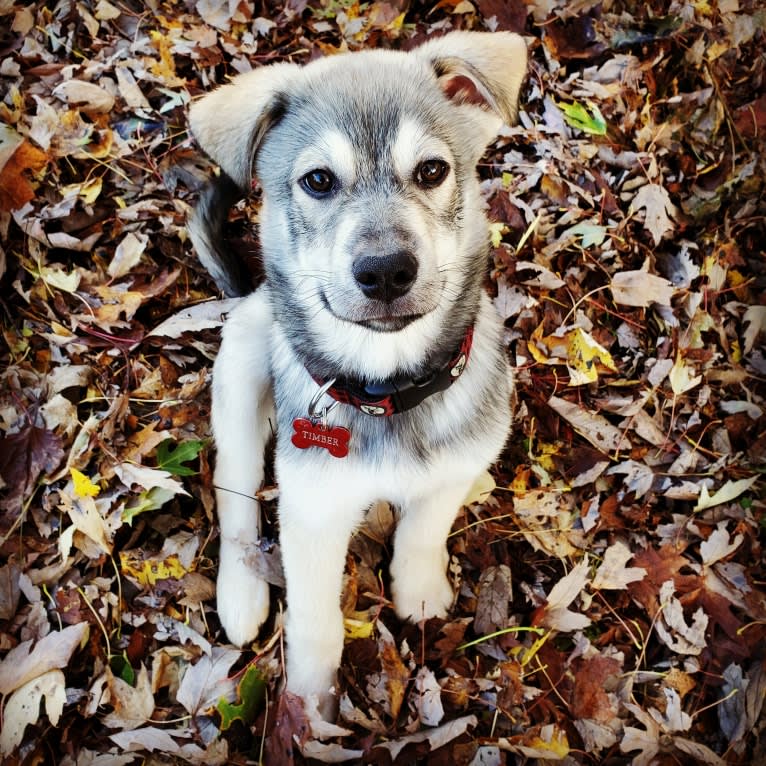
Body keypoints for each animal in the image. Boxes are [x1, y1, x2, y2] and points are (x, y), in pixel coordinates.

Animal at [189, 28, 532, 712]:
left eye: (432, 170)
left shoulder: (445, 472)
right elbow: (315, 621)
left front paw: (418, 589)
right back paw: (241, 594)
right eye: (319, 180)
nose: (385, 272)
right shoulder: (312, 513)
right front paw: (309, 704)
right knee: (236, 488)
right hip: (241, 369)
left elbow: (425, 529)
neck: (389, 390)